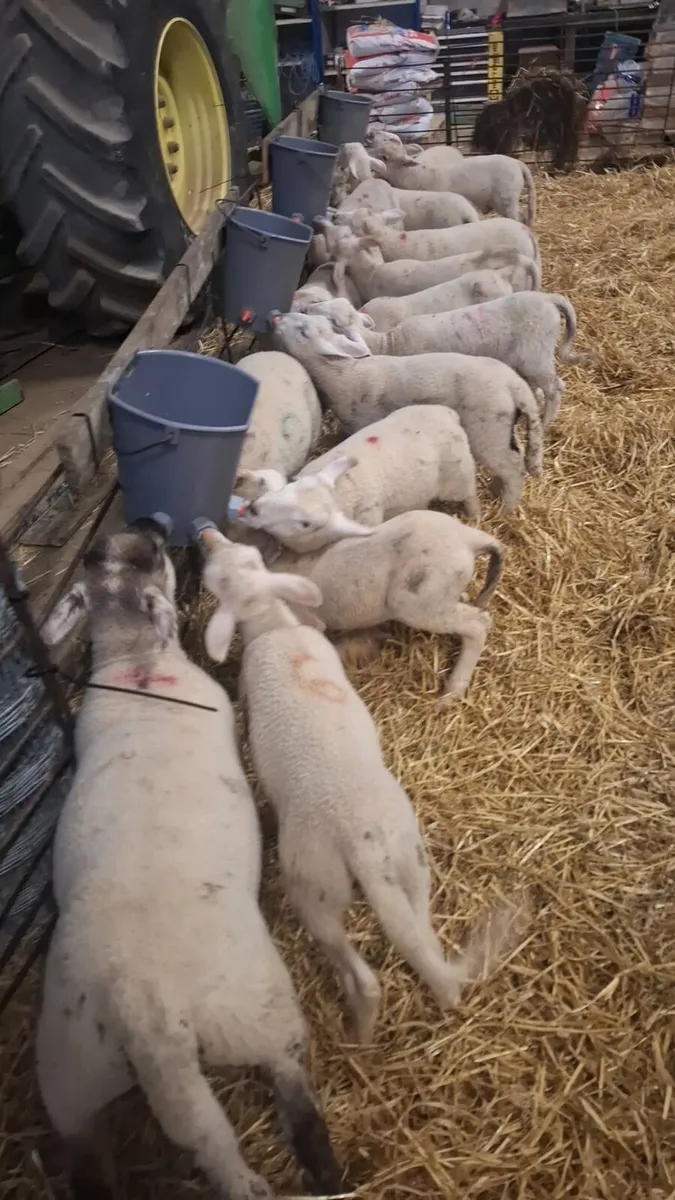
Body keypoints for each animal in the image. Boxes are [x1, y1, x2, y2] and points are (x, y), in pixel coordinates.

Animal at [36, 520, 344, 1200]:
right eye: (155, 556)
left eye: (118, 553)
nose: (154, 523)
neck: (139, 666)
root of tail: (146, 1014)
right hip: (260, 1011)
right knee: (283, 1095)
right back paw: (317, 1171)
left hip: (72, 1081)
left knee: (98, 1160)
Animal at [232, 480, 504, 700]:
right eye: (288, 486)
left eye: (305, 523)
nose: (254, 508)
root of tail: (467, 539)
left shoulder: (304, 619)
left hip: (420, 602)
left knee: (478, 624)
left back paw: (452, 692)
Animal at [237, 405, 480, 532]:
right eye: (290, 487)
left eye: (305, 524)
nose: (253, 509)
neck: (341, 490)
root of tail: (449, 414)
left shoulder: (368, 516)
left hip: (459, 474)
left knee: (470, 494)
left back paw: (474, 516)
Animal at [271, 311, 543, 512]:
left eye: (303, 331)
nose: (276, 316)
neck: (343, 374)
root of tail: (514, 383)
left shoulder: (362, 420)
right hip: (503, 426)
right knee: (514, 455)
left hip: (487, 429)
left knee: (513, 467)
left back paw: (506, 510)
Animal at [333, 292, 579, 429]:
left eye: (332, 320)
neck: (389, 343)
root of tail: (549, 299)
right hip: (528, 358)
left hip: (536, 355)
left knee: (555, 388)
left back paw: (545, 424)